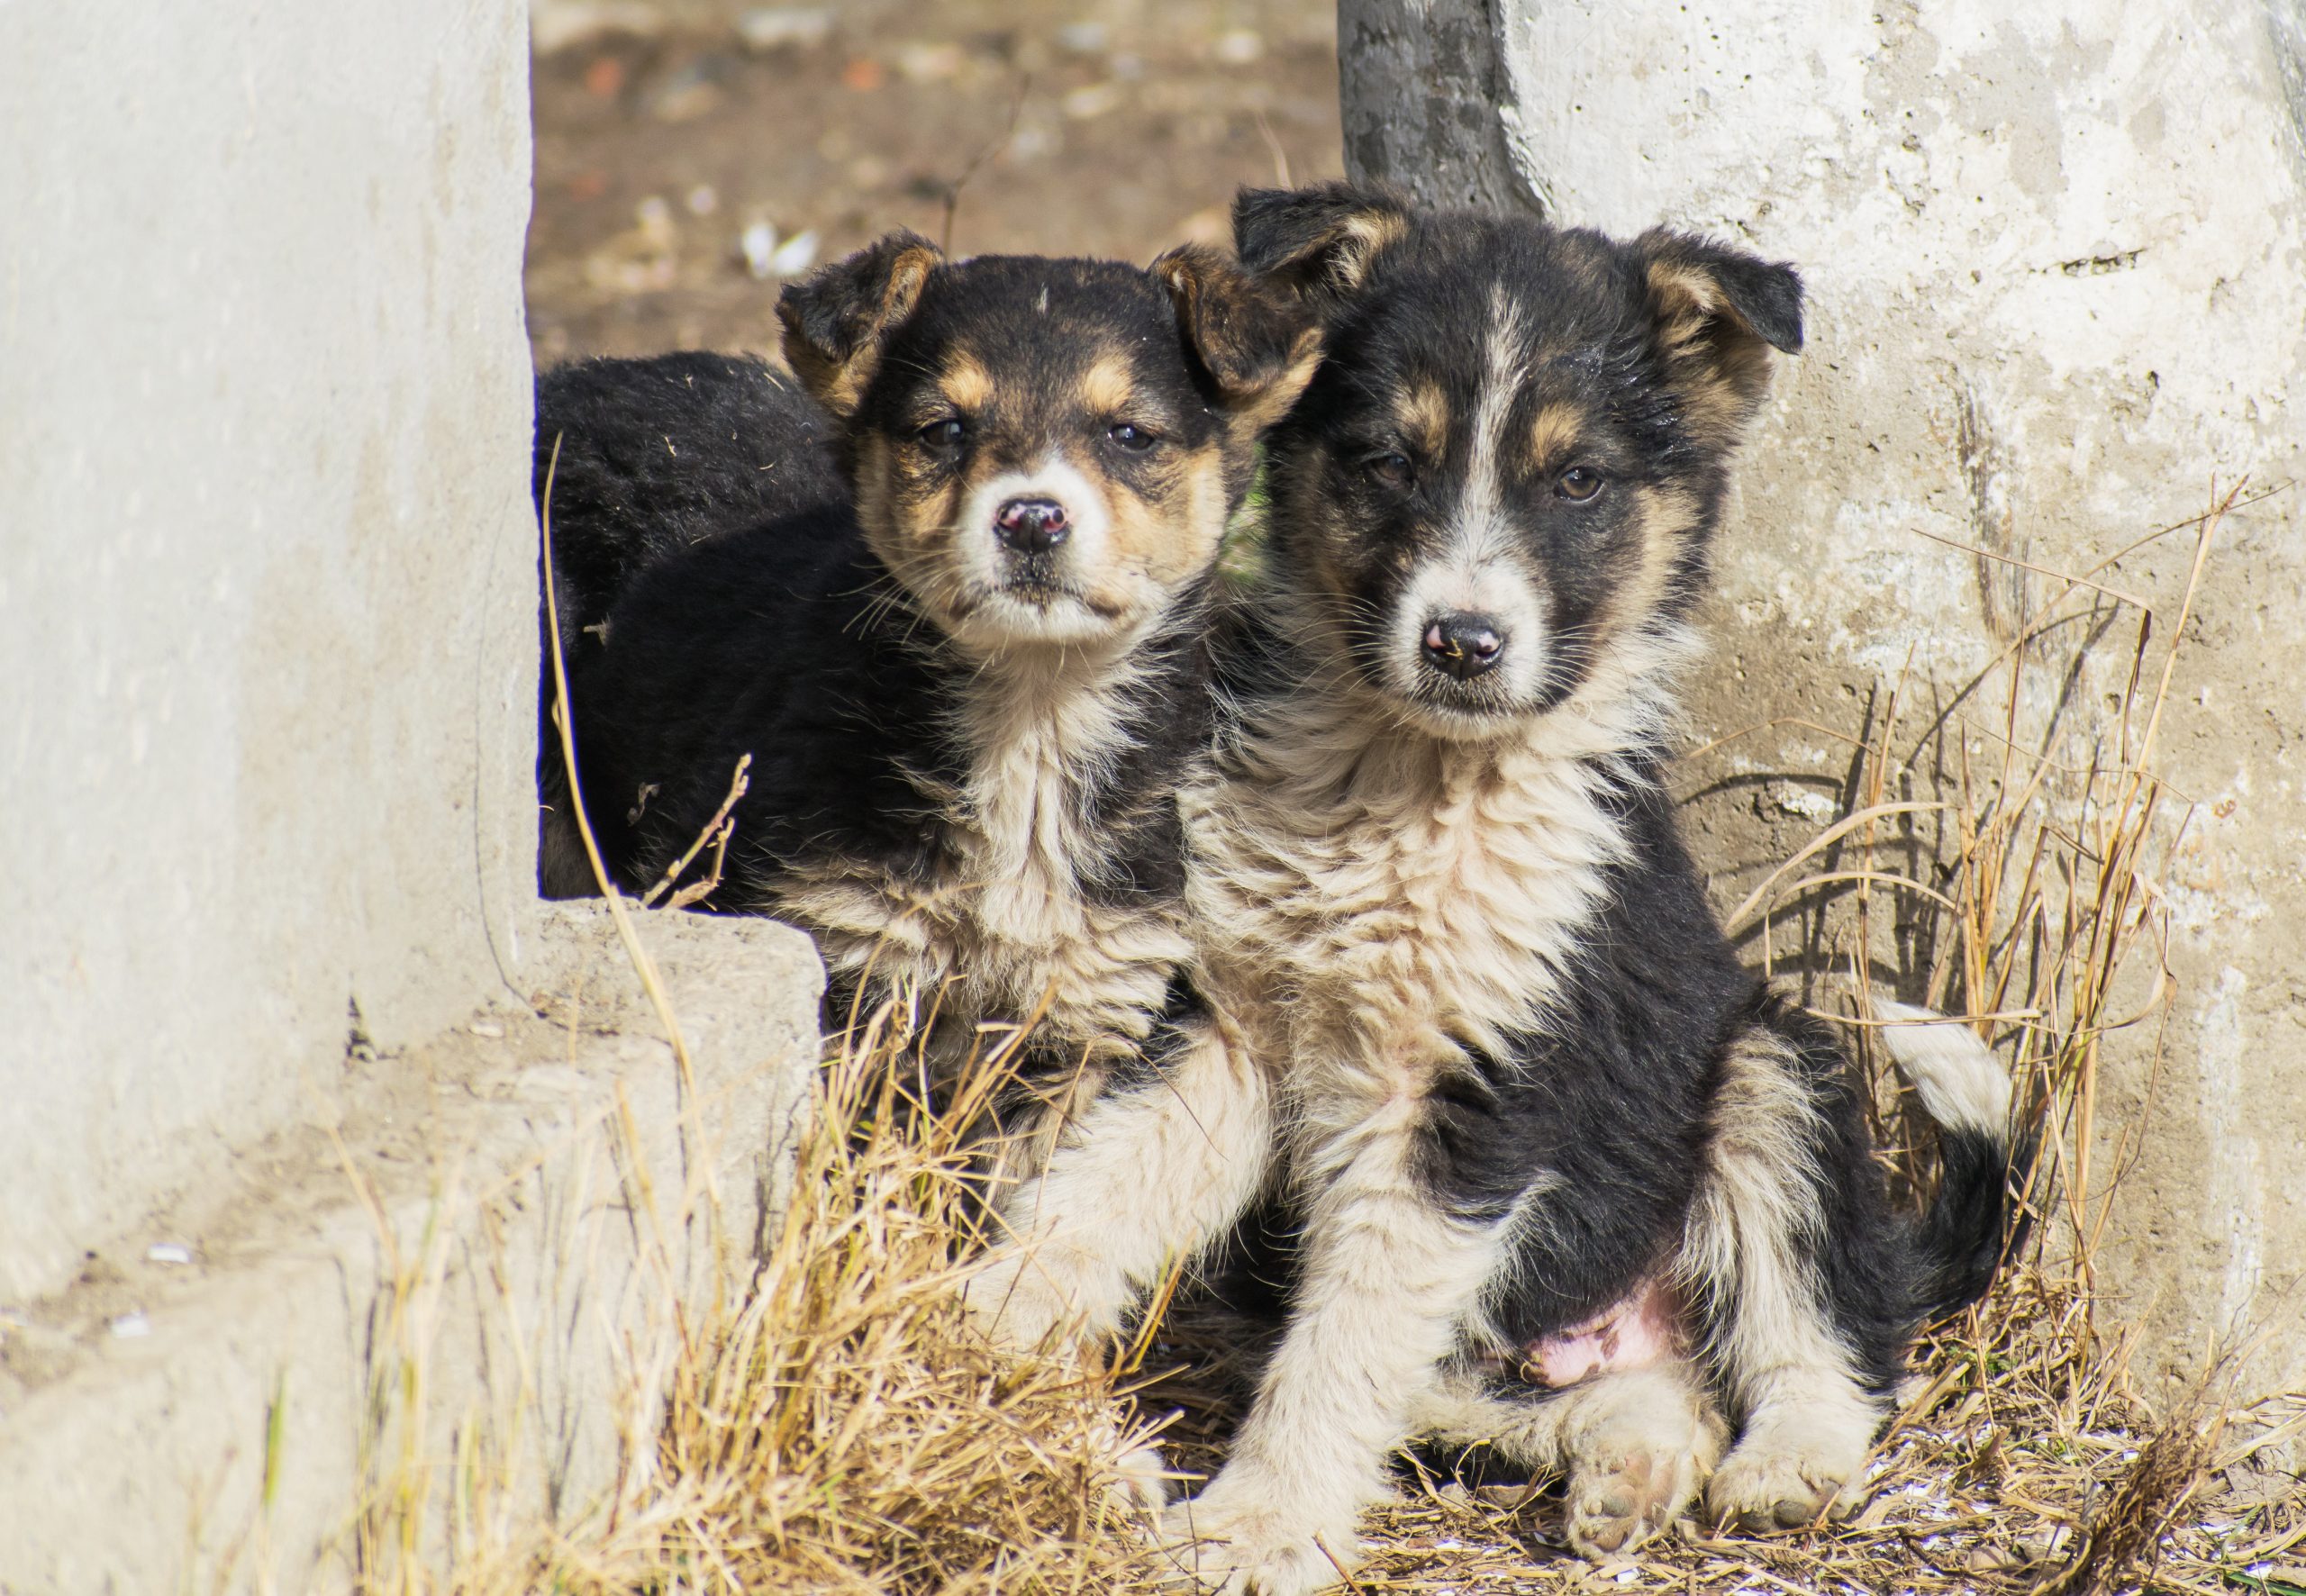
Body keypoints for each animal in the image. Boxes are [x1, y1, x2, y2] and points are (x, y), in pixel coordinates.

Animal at [528, 231, 1310, 1097]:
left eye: (1130, 435)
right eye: (943, 431)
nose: (1031, 519)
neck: (1033, 720)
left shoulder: (1090, 1005)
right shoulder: (840, 949)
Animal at [973, 183, 2038, 1586]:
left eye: (1578, 482)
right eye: (1388, 461)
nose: (1462, 644)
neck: (1413, 784)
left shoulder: (1477, 1096)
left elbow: (1339, 1348)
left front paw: (1259, 1527)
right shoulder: (1229, 1021)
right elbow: (1093, 1194)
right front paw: (975, 1318)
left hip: (1770, 1069)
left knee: (1827, 1331)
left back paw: (1787, 1463)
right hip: (1472, 1318)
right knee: (1605, 1389)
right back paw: (1632, 1465)